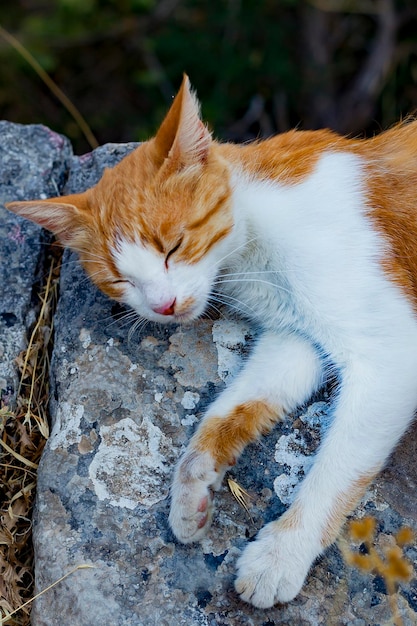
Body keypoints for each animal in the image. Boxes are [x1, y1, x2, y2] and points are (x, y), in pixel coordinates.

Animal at [5, 75, 416, 608]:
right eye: (120, 280)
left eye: (173, 245)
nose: (162, 306)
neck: (252, 249)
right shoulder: (293, 337)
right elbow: (230, 408)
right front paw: (191, 487)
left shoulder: (391, 352)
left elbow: (334, 471)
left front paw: (283, 553)